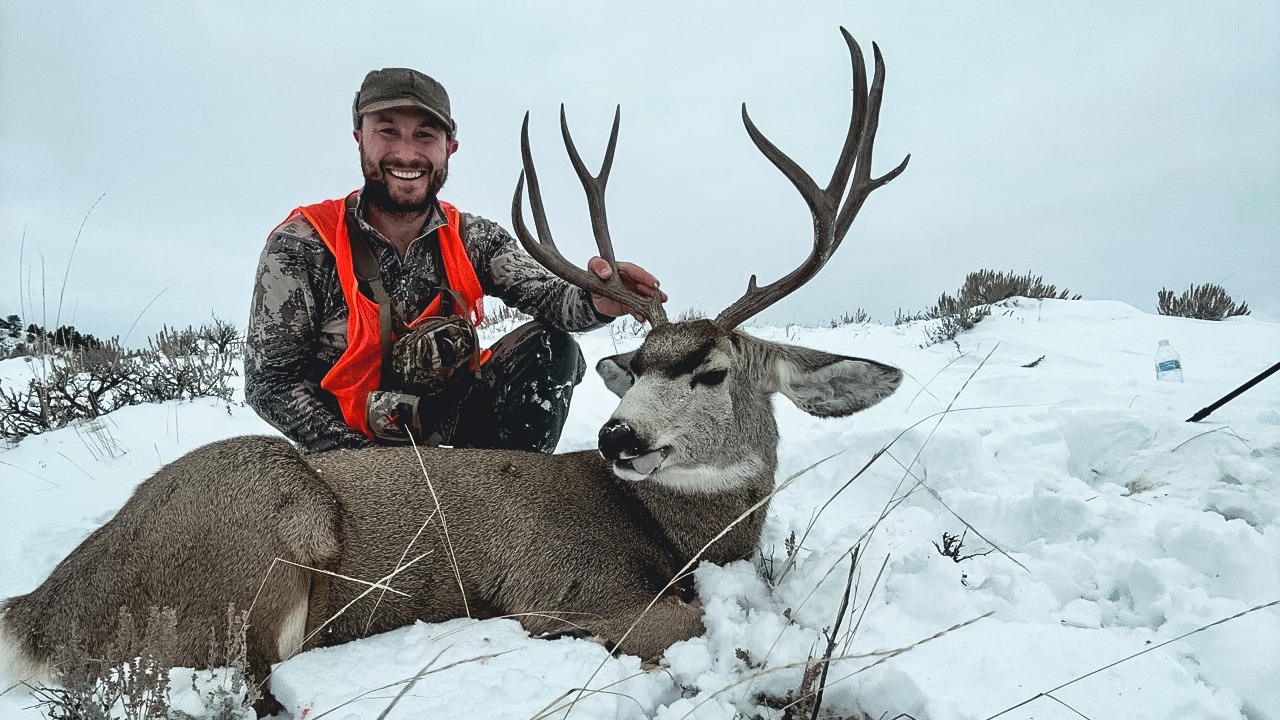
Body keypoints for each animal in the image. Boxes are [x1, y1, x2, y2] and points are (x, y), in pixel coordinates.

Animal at [0, 27, 908, 715]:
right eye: (644, 366)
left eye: (710, 371)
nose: (618, 436)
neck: (673, 536)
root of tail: (40, 611)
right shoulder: (561, 586)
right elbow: (697, 632)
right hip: (257, 552)